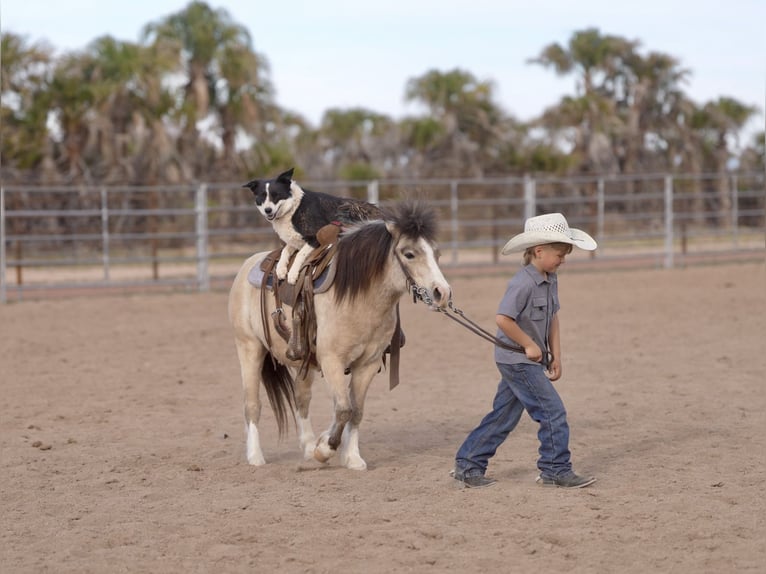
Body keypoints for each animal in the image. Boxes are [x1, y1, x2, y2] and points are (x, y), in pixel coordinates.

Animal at [228, 201, 452, 470]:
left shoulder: (367, 364)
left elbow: (356, 411)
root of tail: (249, 264)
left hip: (302, 362)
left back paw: (307, 447)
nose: (442, 293)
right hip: (249, 348)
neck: (358, 299)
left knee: (301, 399)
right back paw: (256, 456)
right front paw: (325, 449)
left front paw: (351, 457)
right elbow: (344, 409)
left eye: (437, 253)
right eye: (409, 253)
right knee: (252, 404)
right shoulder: (332, 361)